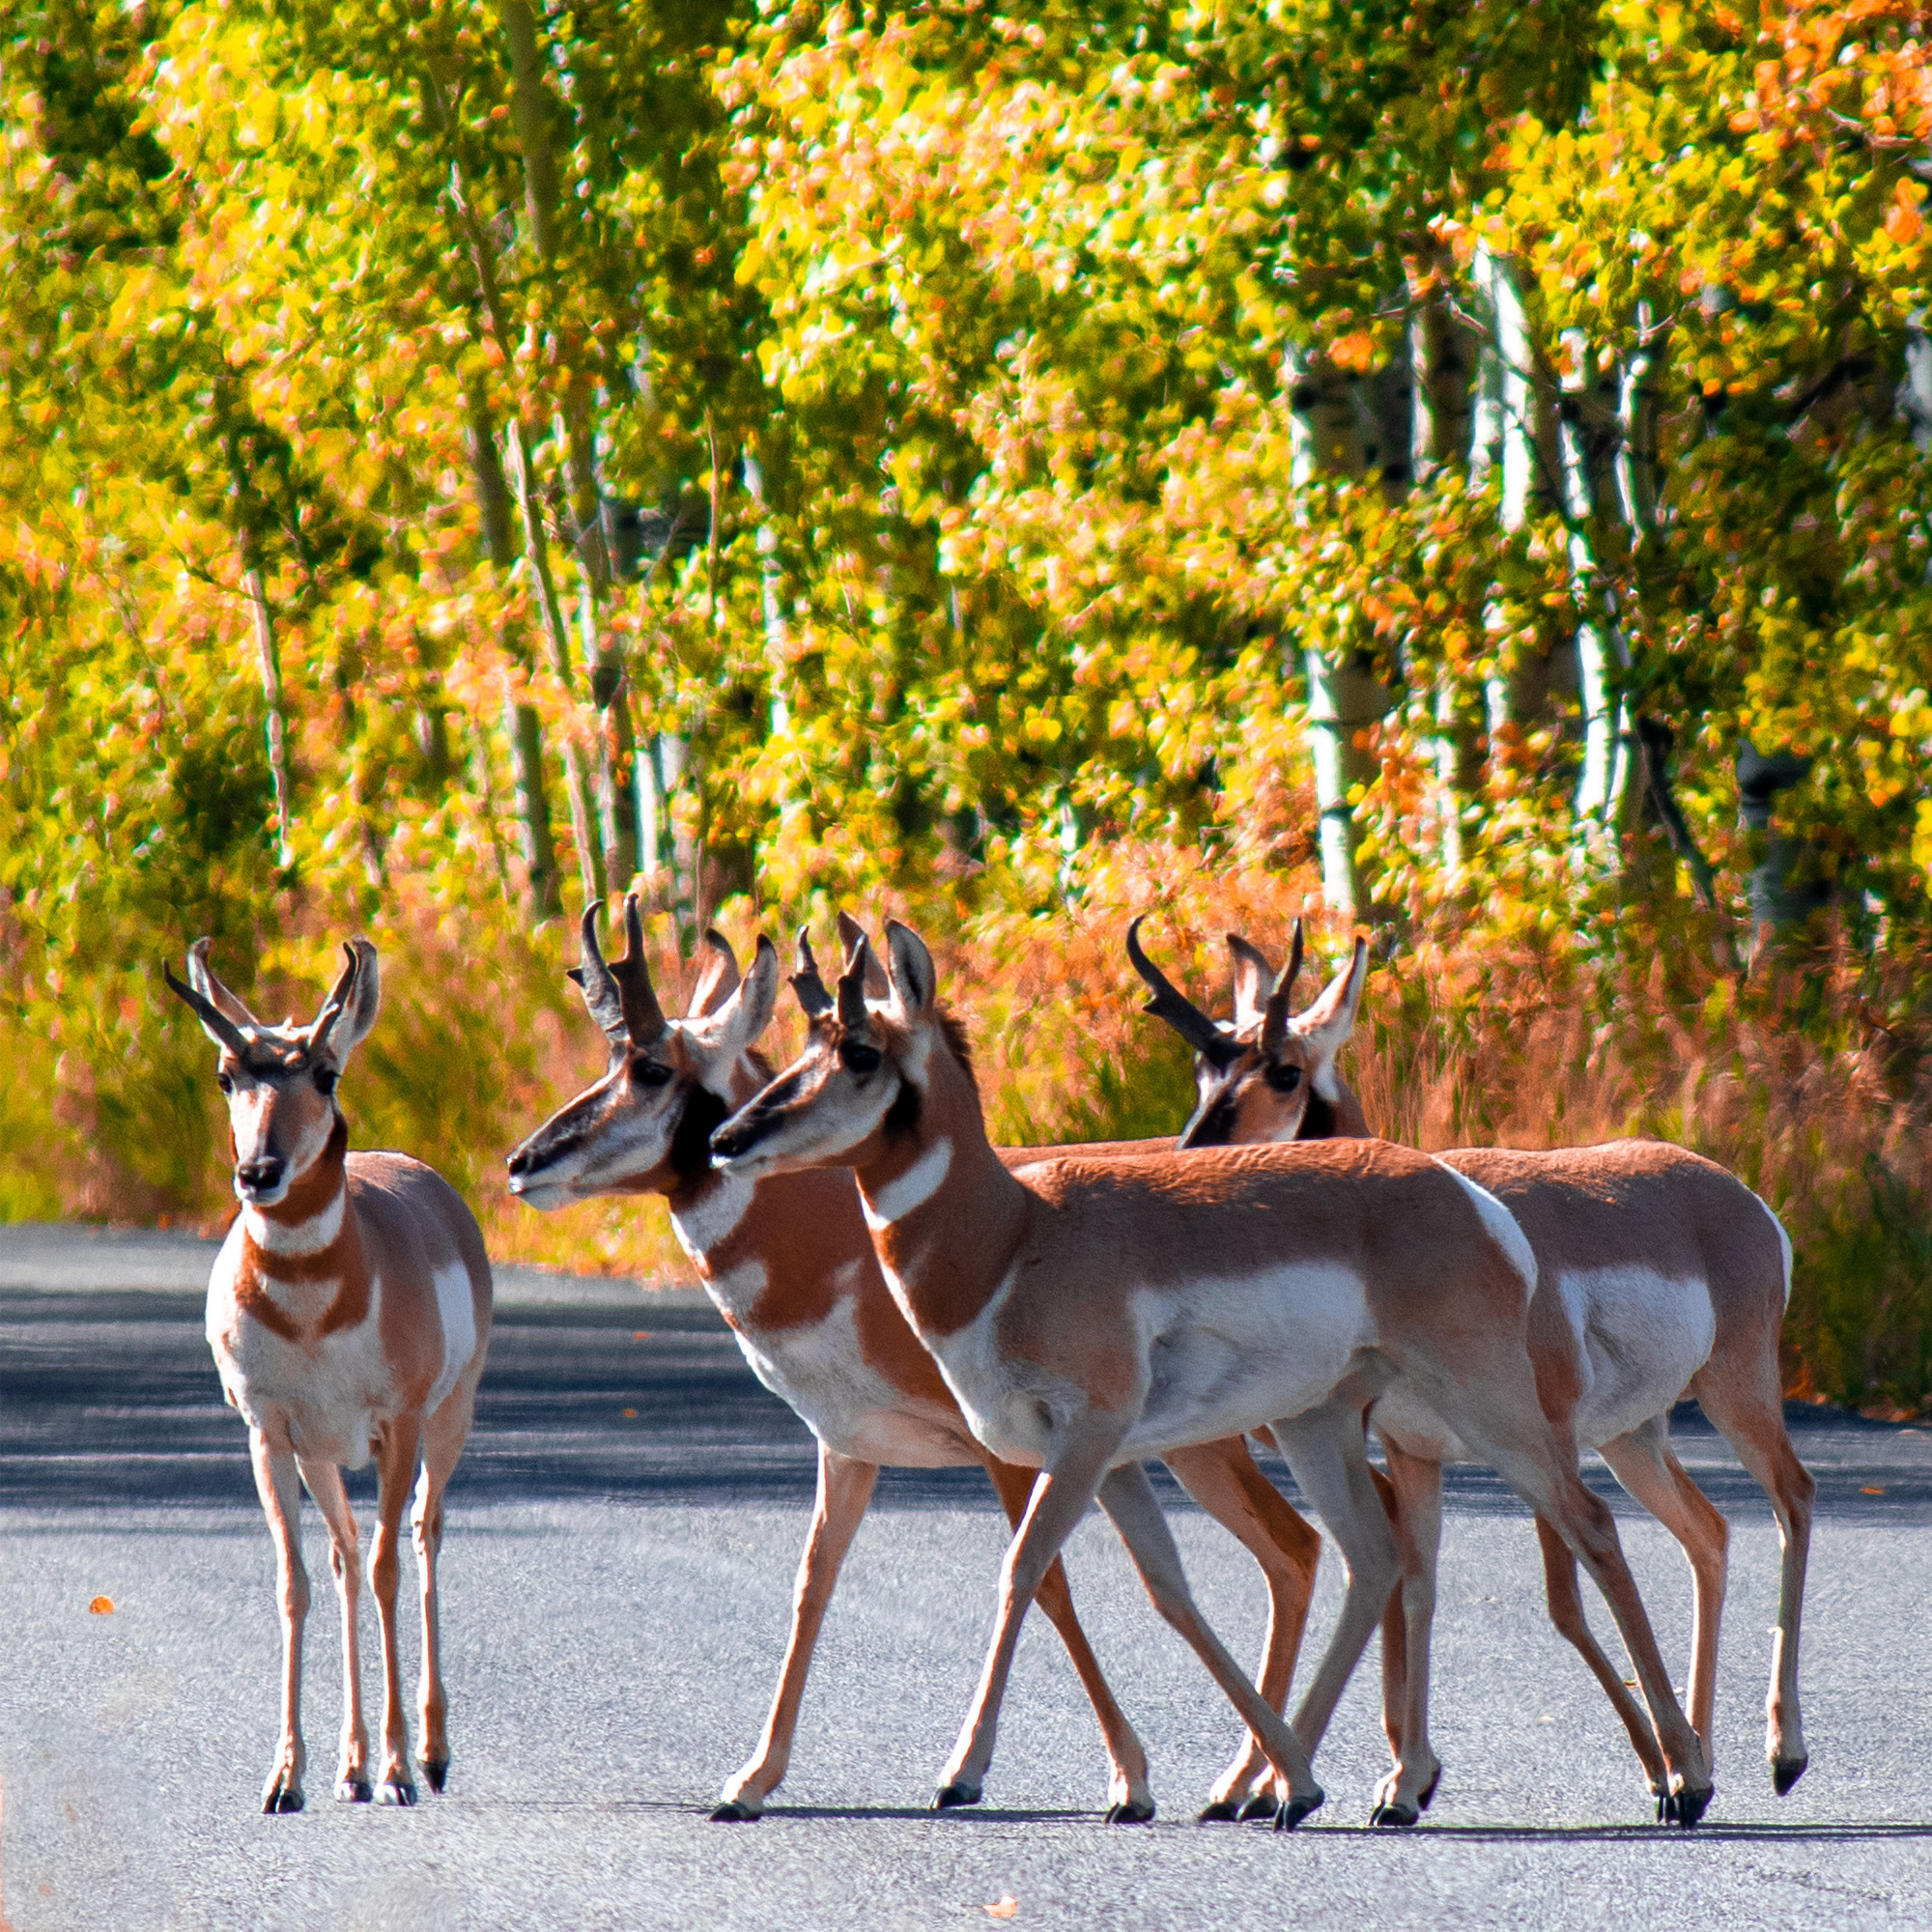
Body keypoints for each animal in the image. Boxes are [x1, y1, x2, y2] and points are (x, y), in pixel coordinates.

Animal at [165, 943, 491, 1816]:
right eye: (226, 1076)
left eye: (324, 1073)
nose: (259, 1171)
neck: (315, 1308)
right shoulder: (270, 1434)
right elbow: (297, 1581)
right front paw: (287, 1778)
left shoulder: (396, 1424)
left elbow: (386, 1571)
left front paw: (401, 1769)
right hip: (324, 1456)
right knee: (344, 1556)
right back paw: (350, 1767)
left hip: (446, 1424)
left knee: (422, 1537)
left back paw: (431, 1756)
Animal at [502, 896, 1329, 1816]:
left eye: (649, 1068)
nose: (521, 1163)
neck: (840, 1246)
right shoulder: (846, 1448)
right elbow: (812, 1583)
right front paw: (749, 1781)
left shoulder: (1006, 1449)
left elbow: (1047, 1582)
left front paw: (1114, 1776)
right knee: (1294, 1549)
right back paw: (1258, 1782)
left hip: (1205, 1441)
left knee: (1300, 1545)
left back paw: (1269, 1780)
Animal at [719, 920, 1716, 1824]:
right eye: (804, 1037)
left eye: (858, 1049)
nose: (728, 1137)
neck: (1016, 1234)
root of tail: (1462, 1191)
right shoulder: (1116, 1459)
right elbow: (1168, 1588)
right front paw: (1275, 1780)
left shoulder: (1083, 1441)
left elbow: (1022, 1567)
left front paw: (960, 1776)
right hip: (1326, 1425)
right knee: (1375, 1553)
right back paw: (1316, 1792)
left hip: (1487, 1407)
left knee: (1590, 1525)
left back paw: (1685, 1778)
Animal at [1128, 912, 1816, 1816]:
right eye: (1204, 1065)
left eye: (1284, 1071)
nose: (1191, 1151)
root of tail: (1735, 1194)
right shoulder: (1415, 1449)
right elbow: (1422, 1581)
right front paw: (1401, 1785)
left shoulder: (1535, 1444)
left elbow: (1563, 1602)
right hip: (1633, 1439)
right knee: (1708, 1530)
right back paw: (1699, 1758)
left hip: (1734, 1395)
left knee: (1792, 1500)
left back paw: (1775, 1755)